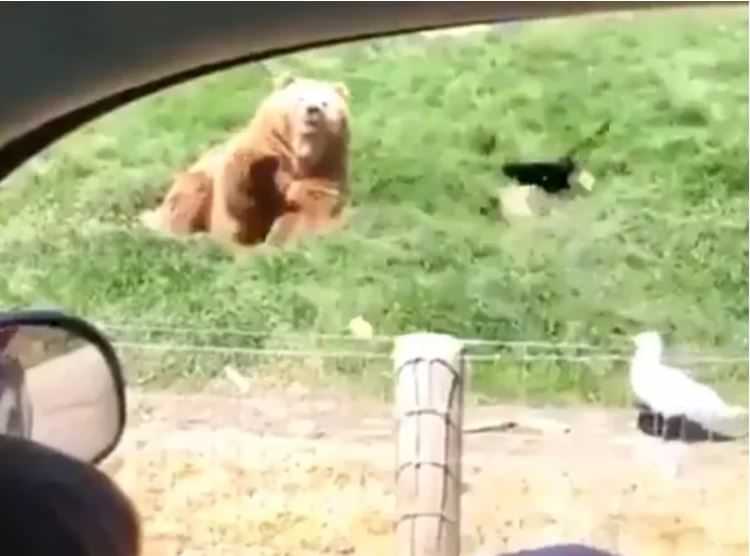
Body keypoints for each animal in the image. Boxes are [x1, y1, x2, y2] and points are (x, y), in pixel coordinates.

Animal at [140, 75, 351, 249]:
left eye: (325, 102)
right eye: (300, 98)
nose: (312, 110)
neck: (299, 154)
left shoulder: (325, 168)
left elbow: (309, 210)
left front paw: (282, 237)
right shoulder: (264, 149)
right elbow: (245, 206)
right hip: (195, 181)